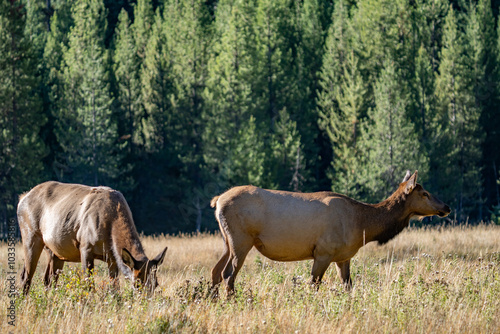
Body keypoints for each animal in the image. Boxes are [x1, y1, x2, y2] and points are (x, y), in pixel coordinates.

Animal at [17, 181, 168, 294]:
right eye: (137, 282)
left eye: (156, 284)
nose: (146, 303)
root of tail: (22, 199)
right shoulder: (85, 247)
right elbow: (89, 286)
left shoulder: (112, 258)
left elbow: (115, 288)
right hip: (30, 235)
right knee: (26, 277)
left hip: (55, 251)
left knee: (48, 280)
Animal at [209, 171, 452, 294]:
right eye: (425, 193)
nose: (447, 207)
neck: (363, 225)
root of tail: (217, 200)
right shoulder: (323, 252)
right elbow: (314, 285)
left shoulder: (343, 257)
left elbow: (348, 286)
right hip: (241, 240)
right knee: (228, 275)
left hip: (227, 241)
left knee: (215, 272)